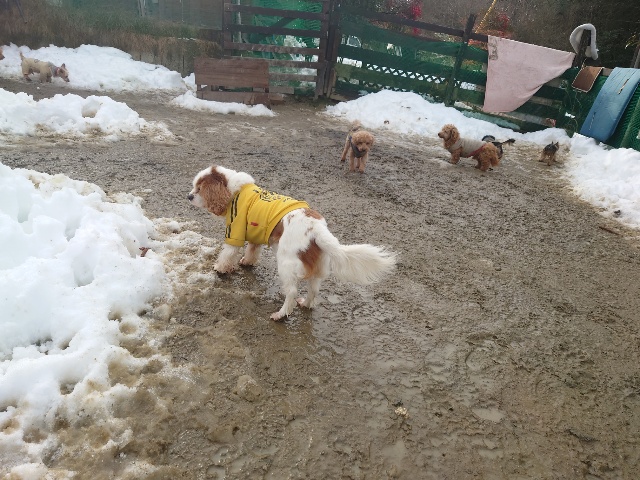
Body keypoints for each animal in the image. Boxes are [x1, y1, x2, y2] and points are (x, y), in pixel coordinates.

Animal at [188, 165, 397, 320]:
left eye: (199, 189)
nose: (189, 196)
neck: (234, 190)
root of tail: (316, 227)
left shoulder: (235, 230)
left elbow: (228, 253)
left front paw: (220, 268)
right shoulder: (254, 234)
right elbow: (252, 250)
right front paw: (247, 262)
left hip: (285, 264)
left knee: (292, 292)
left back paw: (281, 314)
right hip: (317, 267)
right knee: (313, 289)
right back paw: (306, 304)